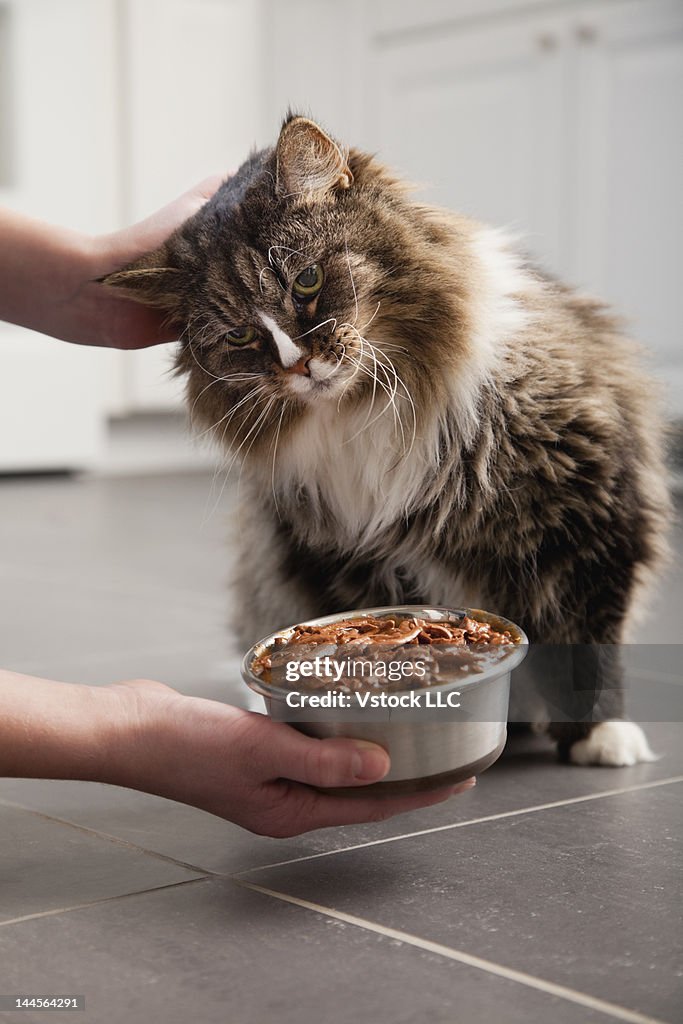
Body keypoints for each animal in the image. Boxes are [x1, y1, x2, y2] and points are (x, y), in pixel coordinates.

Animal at [102, 114, 671, 770]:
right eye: (241, 335)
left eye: (308, 281)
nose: (298, 366)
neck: (367, 410)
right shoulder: (350, 556)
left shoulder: (590, 513)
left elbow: (589, 644)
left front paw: (601, 737)